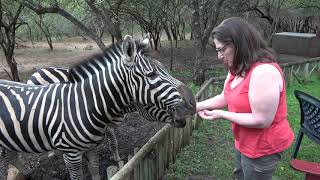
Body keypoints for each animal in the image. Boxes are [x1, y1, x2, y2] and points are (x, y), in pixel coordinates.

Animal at [0, 34, 195, 179]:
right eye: (151, 74)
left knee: (12, 156)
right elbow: (111, 144)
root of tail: (35, 73)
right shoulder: (72, 154)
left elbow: (94, 170)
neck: (86, 104)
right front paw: (117, 159)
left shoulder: (93, 145)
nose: (193, 103)